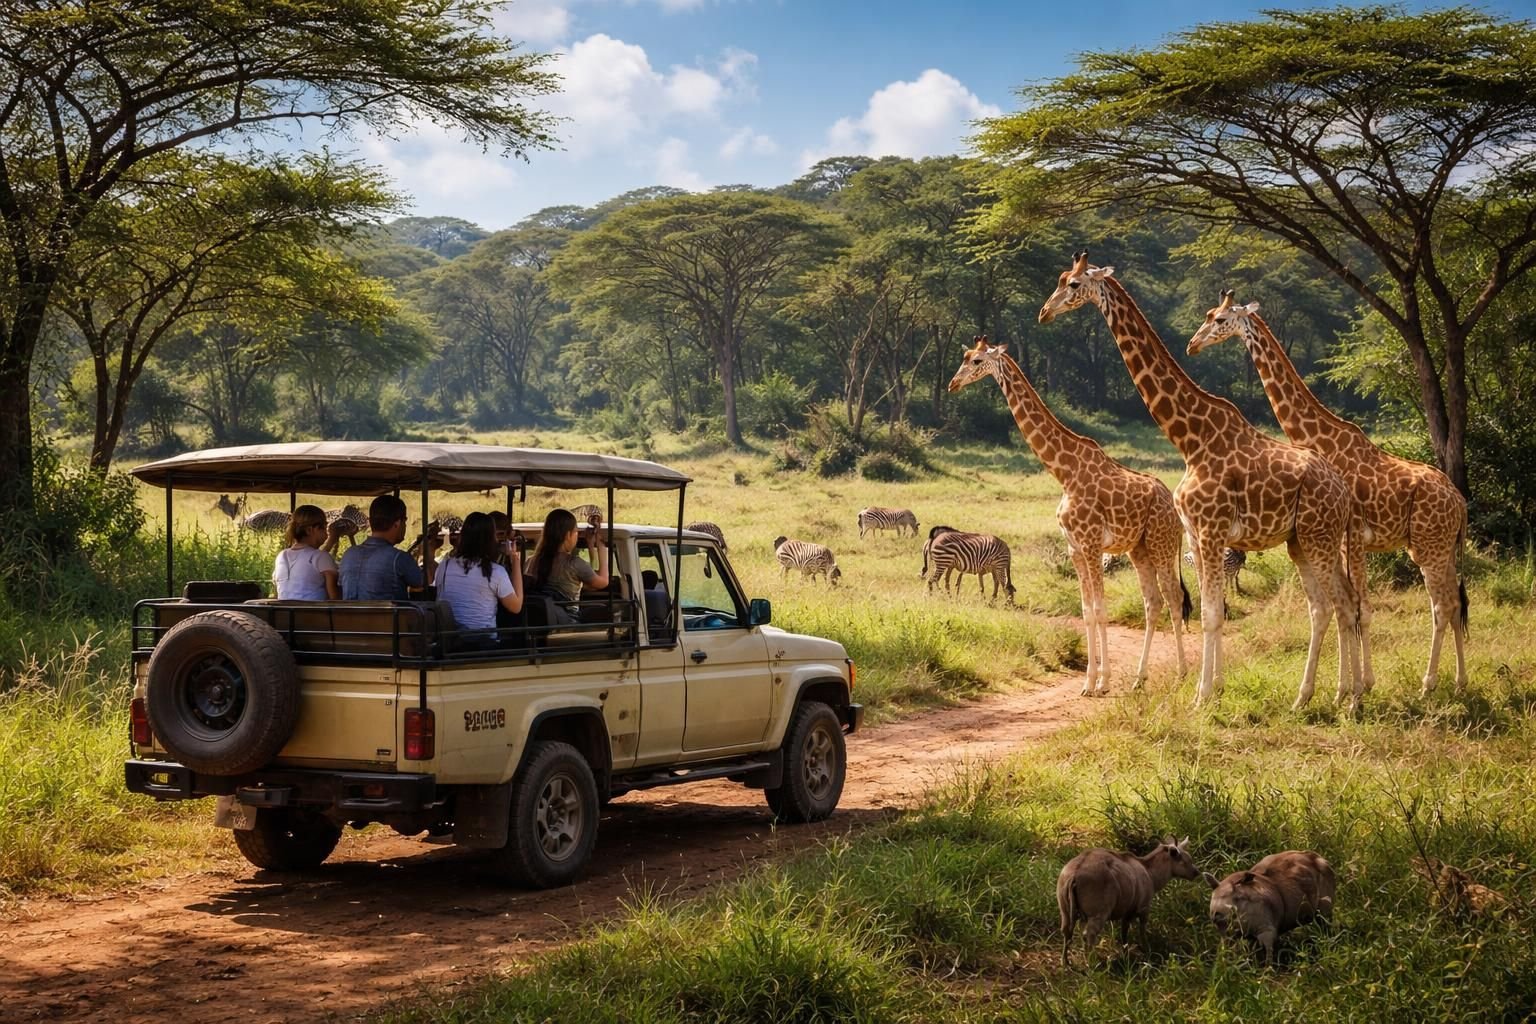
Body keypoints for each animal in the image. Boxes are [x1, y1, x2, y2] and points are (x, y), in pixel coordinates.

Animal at [948, 335, 1187, 693]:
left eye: (976, 361)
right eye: (964, 357)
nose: (953, 384)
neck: (1064, 472)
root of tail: (1173, 506)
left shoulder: (1091, 545)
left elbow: (1100, 609)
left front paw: (1102, 683)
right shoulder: (1075, 548)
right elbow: (1087, 610)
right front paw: (1089, 682)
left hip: (1162, 543)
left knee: (1174, 596)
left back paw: (1183, 674)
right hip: (1139, 548)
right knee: (1153, 601)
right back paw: (1139, 679)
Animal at [1038, 253, 1364, 710]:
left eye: (1071, 284)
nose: (1044, 313)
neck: (1190, 440)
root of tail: (1344, 492)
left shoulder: (1211, 530)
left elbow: (1211, 613)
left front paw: (1203, 694)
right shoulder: (1195, 533)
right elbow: (1214, 610)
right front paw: (1213, 689)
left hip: (1320, 535)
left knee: (1342, 602)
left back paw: (1346, 699)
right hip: (1301, 540)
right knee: (1327, 604)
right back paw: (1322, 696)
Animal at [1188, 291, 1469, 695]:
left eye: (1221, 319)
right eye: (1209, 314)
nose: (1193, 344)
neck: (1320, 438)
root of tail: (1460, 503)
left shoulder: (1350, 539)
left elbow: (1357, 609)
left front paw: (1359, 685)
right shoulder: (1346, 542)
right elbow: (1349, 609)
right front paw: (1351, 685)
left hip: (1431, 547)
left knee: (1442, 605)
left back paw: (1428, 683)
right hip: (1437, 547)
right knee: (1456, 601)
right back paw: (1459, 681)